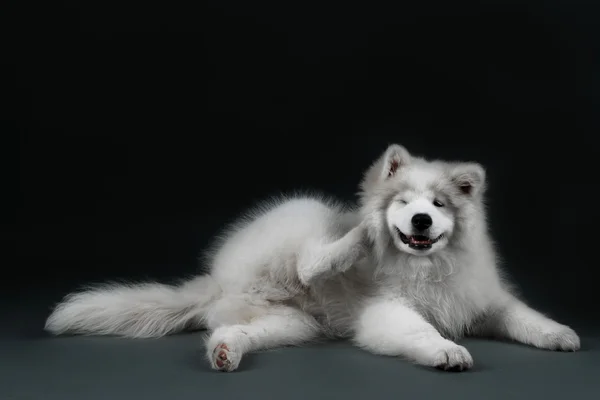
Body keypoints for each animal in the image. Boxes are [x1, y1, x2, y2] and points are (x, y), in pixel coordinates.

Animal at [44, 144, 580, 372]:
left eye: (439, 204)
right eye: (404, 201)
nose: (421, 221)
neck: (427, 267)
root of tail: (217, 282)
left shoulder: (483, 298)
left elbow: (525, 316)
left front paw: (559, 335)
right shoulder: (387, 311)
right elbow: (420, 331)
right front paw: (447, 351)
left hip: (290, 325)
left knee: (230, 332)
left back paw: (226, 352)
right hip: (304, 215)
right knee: (307, 261)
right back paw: (356, 239)